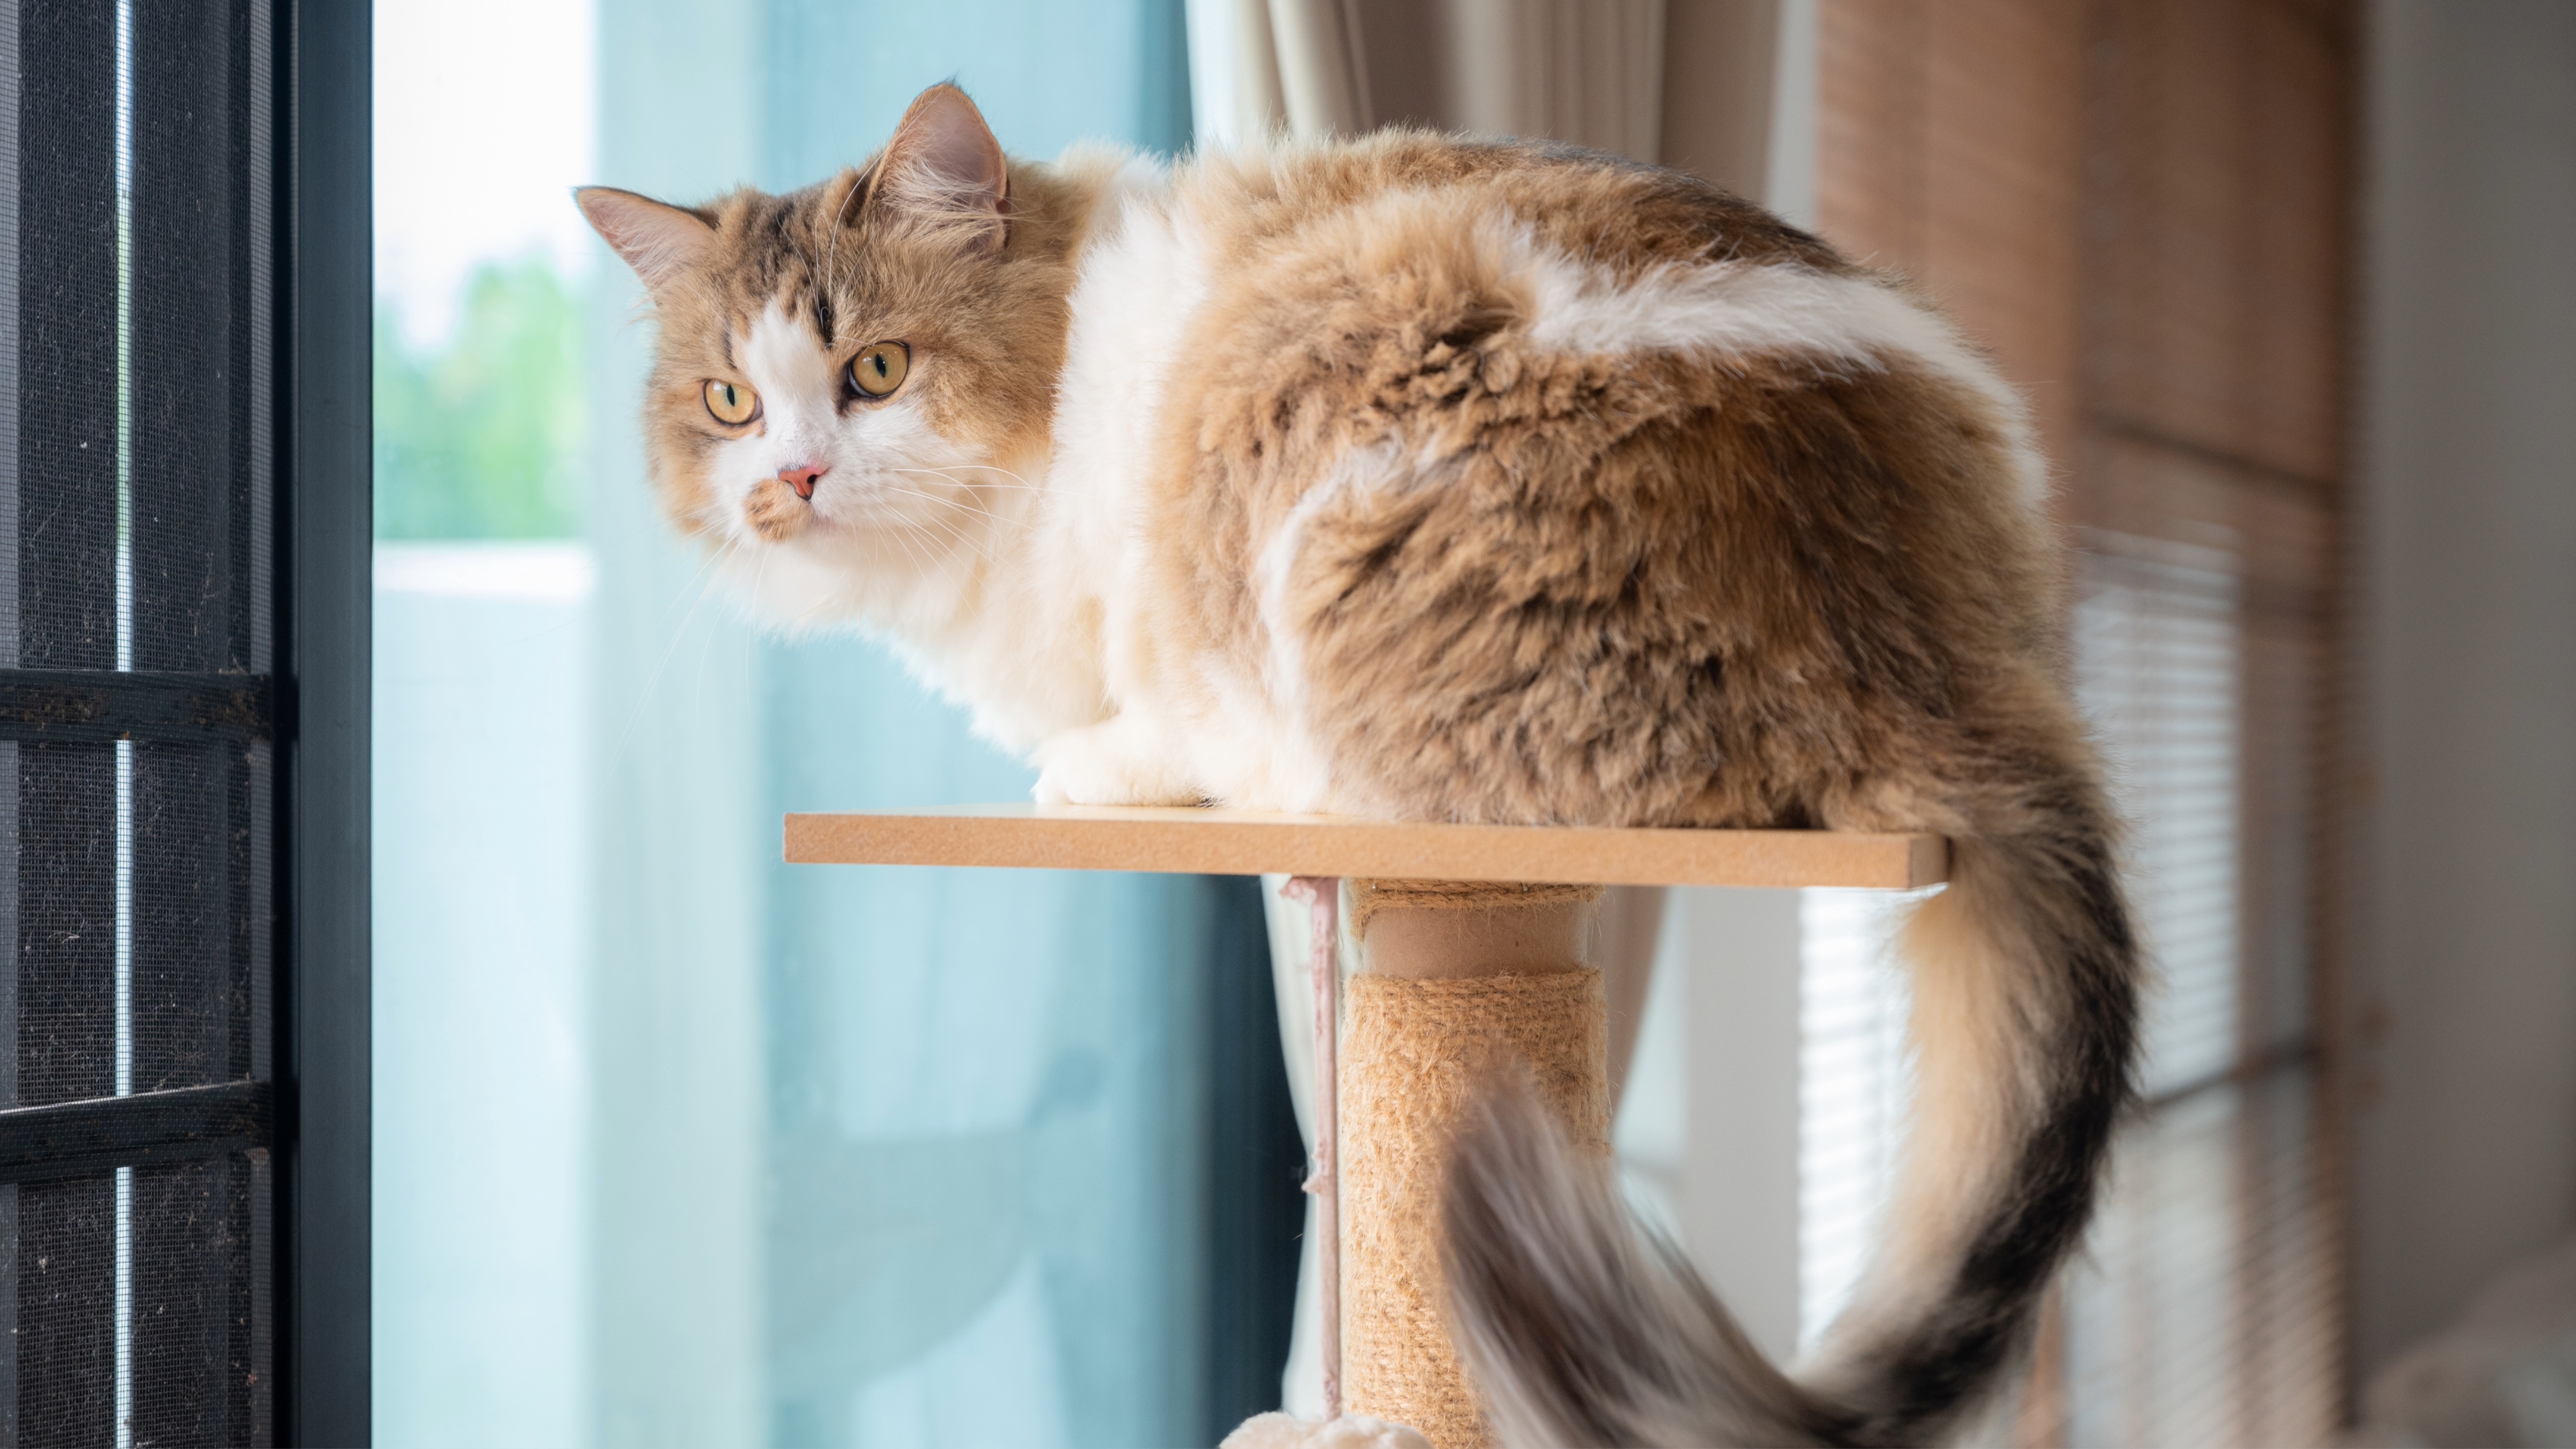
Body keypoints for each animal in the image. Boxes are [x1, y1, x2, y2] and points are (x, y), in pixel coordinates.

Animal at [580, 85, 2133, 1441]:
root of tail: (1913, 639)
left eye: (876, 371)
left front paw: (1096, 763)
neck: (1071, 362)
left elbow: (1149, 710)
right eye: (730, 403)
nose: (792, 481)